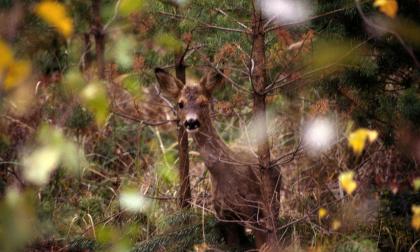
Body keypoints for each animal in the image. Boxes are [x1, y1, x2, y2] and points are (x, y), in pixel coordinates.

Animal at [156, 67, 280, 248]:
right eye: (180, 103)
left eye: (203, 102)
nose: (191, 122)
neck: (226, 176)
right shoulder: (224, 215)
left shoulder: (253, 208)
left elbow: (262, 242)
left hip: (273, 200)